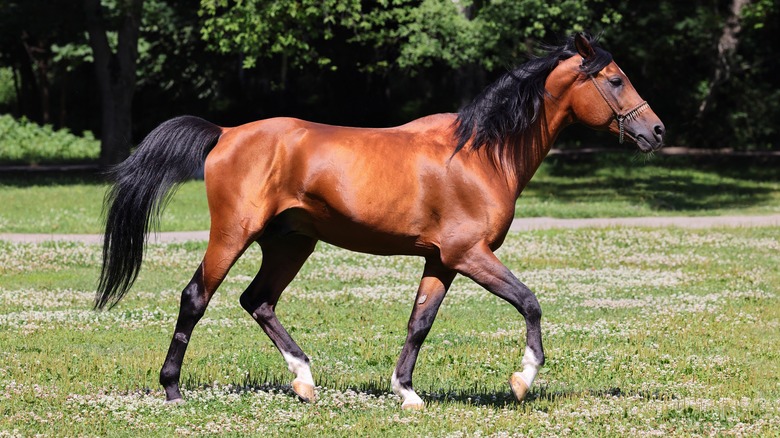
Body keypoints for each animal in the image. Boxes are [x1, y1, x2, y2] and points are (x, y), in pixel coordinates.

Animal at [96, 32, 664, 408]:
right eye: (616, 79)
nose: (656, 132)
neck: (480, 154)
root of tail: (227, 133)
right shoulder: (470, 254)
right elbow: (529, 302)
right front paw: (522, 379)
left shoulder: (442, 260)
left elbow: (420, 322)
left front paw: (406, 392)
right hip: (234, 234)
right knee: (197, 297)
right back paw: (172, 388)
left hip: (290, 243)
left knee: (257, 300)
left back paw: (305, 381)